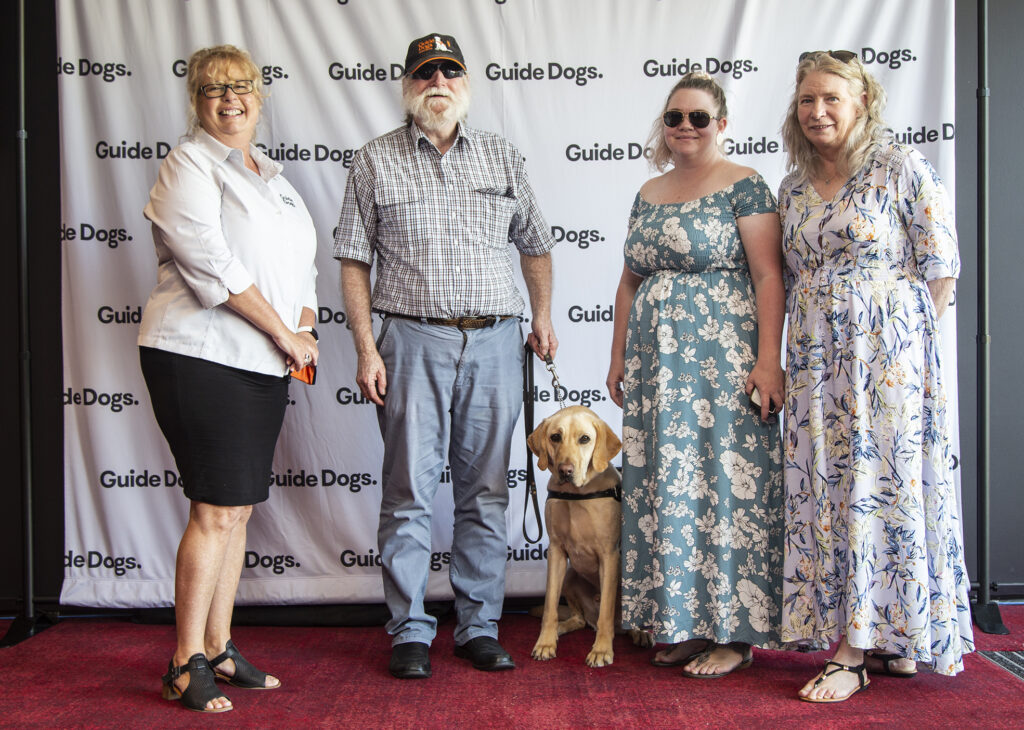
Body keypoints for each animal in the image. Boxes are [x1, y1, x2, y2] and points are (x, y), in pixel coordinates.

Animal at [528, 403, 647, 667]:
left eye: (585, 439)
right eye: (555, 437)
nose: (565, 470)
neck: (578, 495)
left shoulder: (609, 556)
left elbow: (606, 612)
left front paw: (601, 650)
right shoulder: (556, 552)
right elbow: (550, 606)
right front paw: (545, 643)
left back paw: (640, 632)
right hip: (570, 575)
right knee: (580, 619)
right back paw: (563, 627)